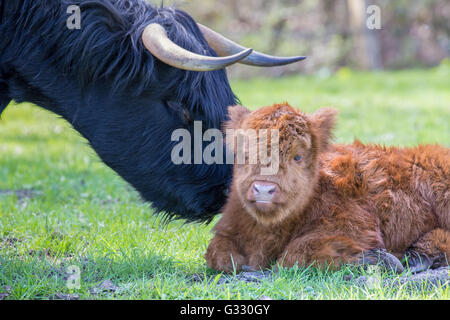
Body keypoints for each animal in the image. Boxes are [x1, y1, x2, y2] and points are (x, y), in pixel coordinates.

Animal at [205, 104, 450, 274]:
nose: (264, 189)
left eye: (297, 156)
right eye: (245, 154)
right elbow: (219, 255)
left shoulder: (353, 226)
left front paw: (380, 259)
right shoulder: (228, 231)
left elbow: (294, 254)